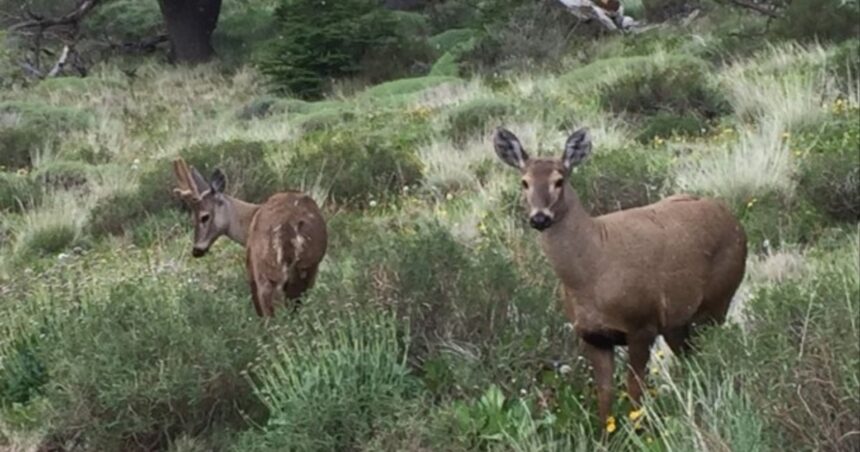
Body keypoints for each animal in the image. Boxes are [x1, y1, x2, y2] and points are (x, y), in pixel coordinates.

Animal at [172, 159, 330, 318]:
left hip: (265, 270)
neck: (250, 217)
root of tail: (288, 228)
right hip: (308, 267)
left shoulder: (250, 265)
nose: (196, 250)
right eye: (192, 219)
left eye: (204, 217)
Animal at [494, 126, 748, 424]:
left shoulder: (642, 324)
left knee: (714, 351)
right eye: (524, 182)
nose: (539, 218)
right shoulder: (593, 336)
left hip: (719, 298)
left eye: (559, 180)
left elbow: (634, 390)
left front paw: (638, 429)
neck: (591, 275)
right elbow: (605, 397)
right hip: (677, 321)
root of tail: (734, 219)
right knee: (691, 357)